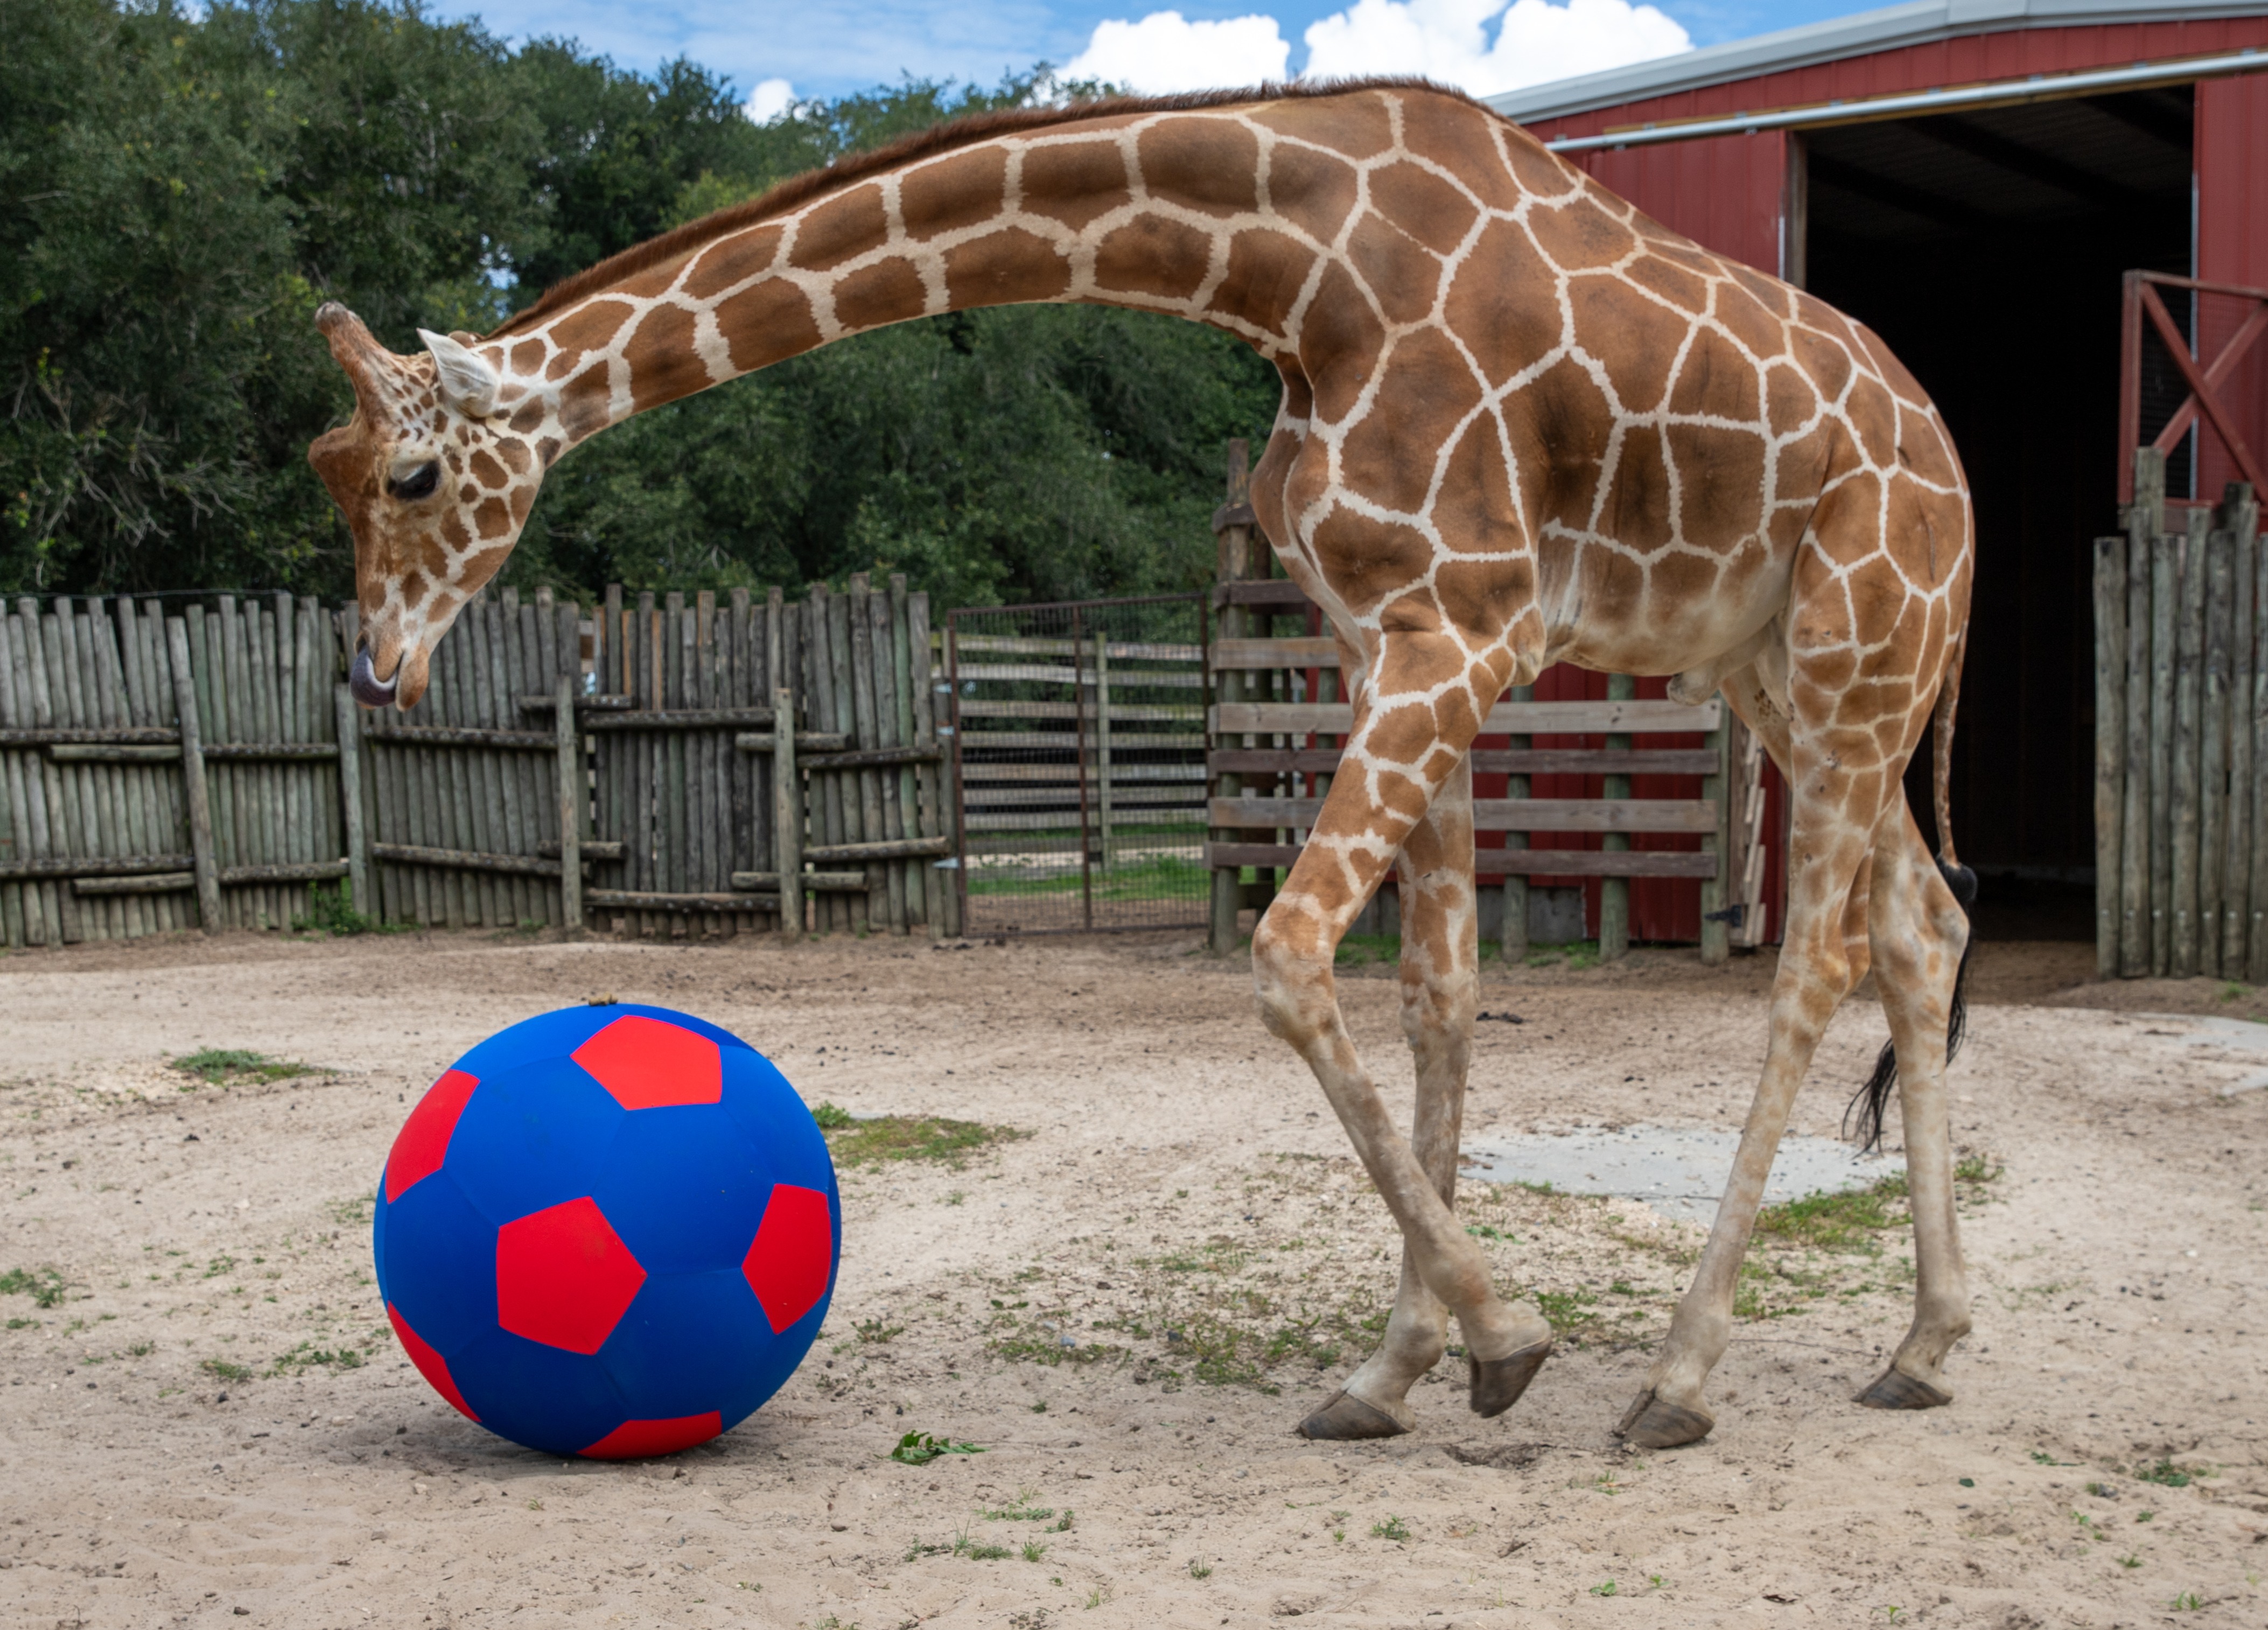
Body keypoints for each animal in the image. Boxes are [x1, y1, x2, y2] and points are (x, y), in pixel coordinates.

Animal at [309, 79, 1977, 1449]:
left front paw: (1504, 1338)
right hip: (1777, 669)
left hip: (1856, 647)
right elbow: (1435, 993)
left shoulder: (1457, 634)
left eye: (414, 475)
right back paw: (1922, 1346)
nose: (377, 667)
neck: (1290, 275)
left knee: (1815, 959)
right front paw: (1396, 1366)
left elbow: (1289, 956)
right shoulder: (1395, 639)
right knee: (1921, 924)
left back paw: (1681, 1377)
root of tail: (1953, 467)